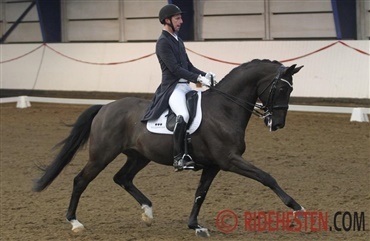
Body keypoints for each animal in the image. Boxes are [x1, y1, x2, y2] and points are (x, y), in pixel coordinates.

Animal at [32, 58, 304, 237]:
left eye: (290, 88)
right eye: (281, 87)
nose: (277, 123)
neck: (224, 109)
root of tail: (106, 107)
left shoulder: (214, 165)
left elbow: (201, 193)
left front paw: (195, 225)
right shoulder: (229, 160)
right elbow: (266, 177)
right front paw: (297, 209)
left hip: (139, 156)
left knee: (122, 178)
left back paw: (148, 212)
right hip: (102, 155)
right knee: (80, 180)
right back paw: (75, 223)